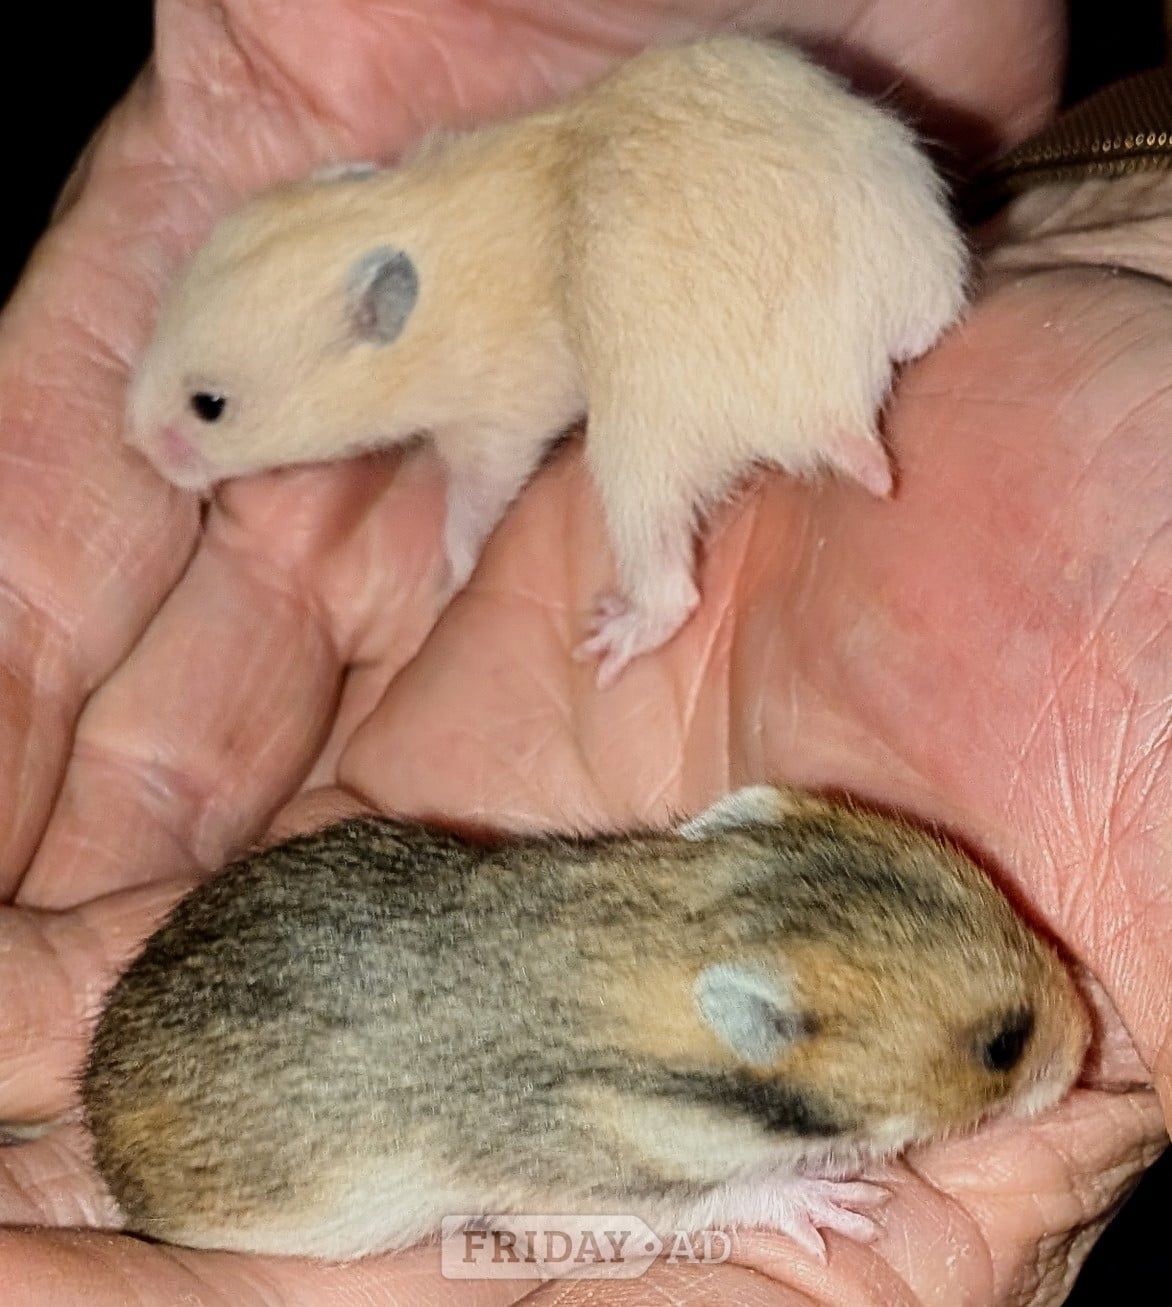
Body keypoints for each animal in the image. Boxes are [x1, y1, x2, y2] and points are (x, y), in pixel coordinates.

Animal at [83, 786, 1087, 1262]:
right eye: (1003, 1045)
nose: (1089, 1044)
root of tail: (91, 1085)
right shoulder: (588, 1191)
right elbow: (719, 1200)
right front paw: (833, 1201)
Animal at [124, 36, 968, 686]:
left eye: (210, 405)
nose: (131, 438)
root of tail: (835, 397)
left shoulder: (494, 425)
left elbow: (471, 503)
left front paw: (448, 575)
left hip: (641, 446)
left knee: (671, 587)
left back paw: (609, 638)